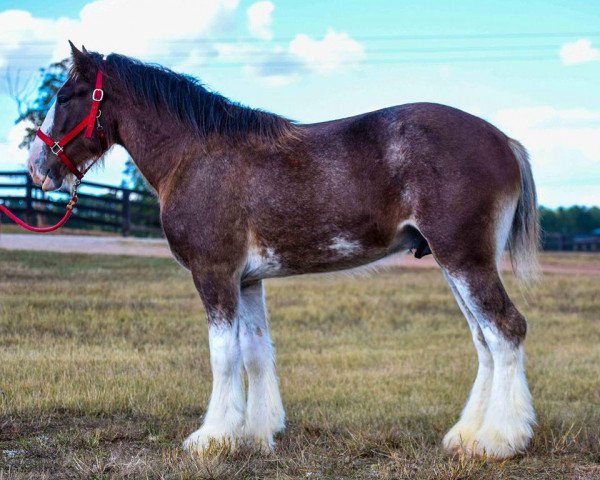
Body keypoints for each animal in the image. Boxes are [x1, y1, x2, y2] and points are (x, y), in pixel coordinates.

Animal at [27, 42, 540, 462]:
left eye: (65, 96)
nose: (37, 166)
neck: (195, 156)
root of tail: (504, 141)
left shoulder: (214, 273)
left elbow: (224, 354)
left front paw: (212, 437)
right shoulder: (249, 280)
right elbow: (255, 351)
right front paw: (257, 433)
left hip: (465, 260)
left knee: (505, 330)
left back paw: (499, 441)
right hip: (454, 264)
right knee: (484, 340)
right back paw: (467, 435)